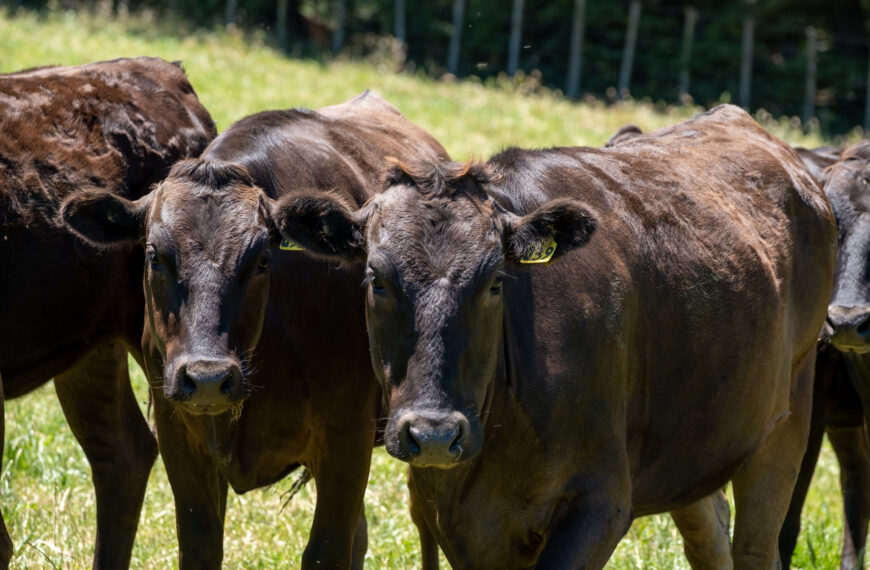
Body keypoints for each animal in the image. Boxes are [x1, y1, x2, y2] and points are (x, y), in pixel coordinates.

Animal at [62, 91, 454, 564]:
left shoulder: (347, 441)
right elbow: (200, 543)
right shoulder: (180, 434)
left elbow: (326, 550)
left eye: (262, 259)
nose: (207, 378)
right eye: (154, 255)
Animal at [270, 104, 836, 564]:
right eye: (376, 279)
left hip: (786, 421)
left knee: (755, 545)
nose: (433, 434)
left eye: (496, 281)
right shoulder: (455, 519)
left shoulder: (602, 503)